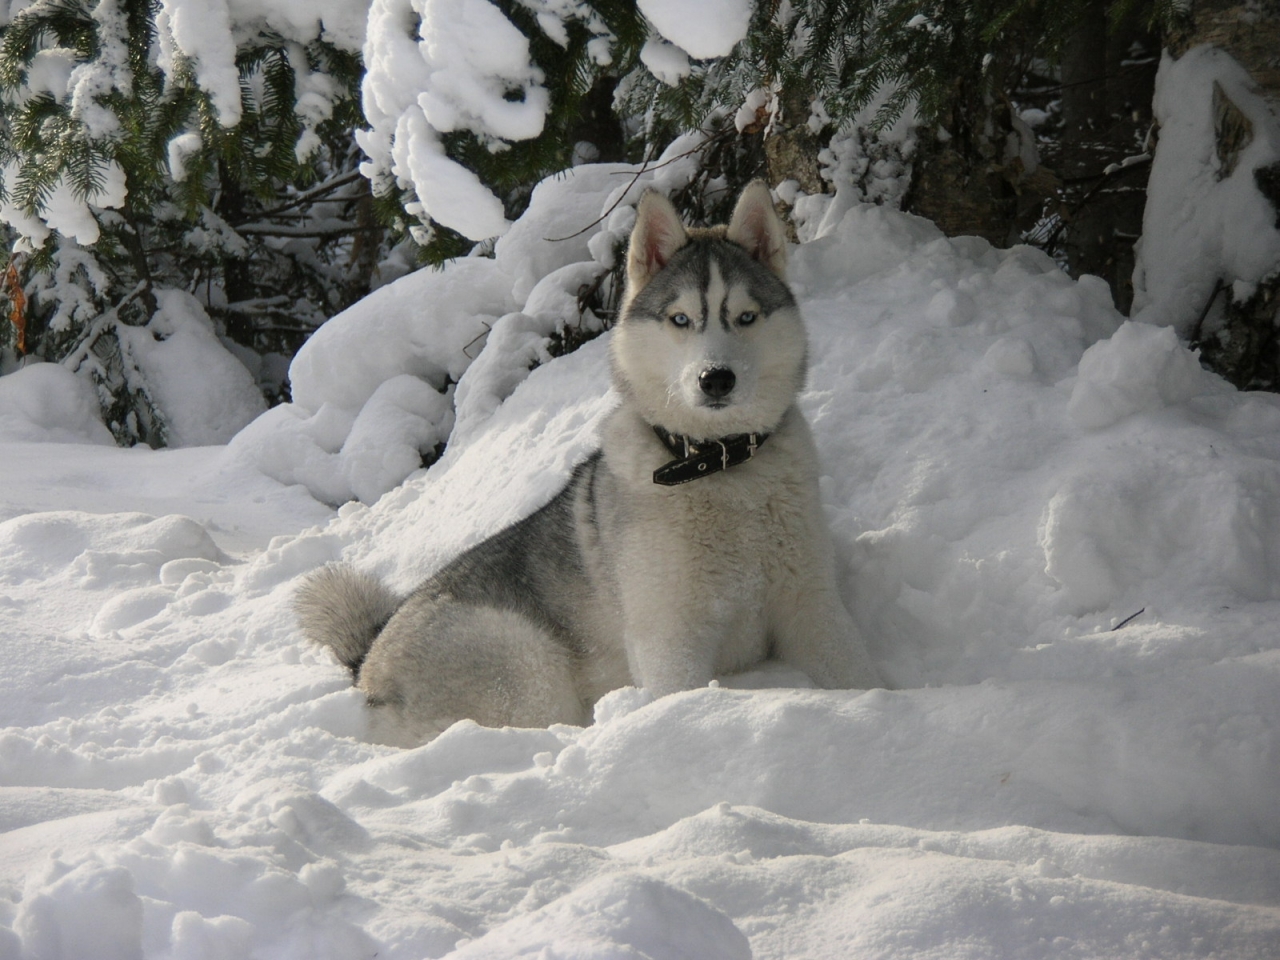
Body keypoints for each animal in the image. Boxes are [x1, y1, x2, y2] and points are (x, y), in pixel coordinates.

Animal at [295, 181, 880, 752]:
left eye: (746, 317)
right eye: (681, 320)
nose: (715, 378)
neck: (720, 467)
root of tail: (370, 657)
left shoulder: (811, 606)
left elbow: (865, 677)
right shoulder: (670, 639)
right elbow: (683, 698)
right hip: (528, 668)